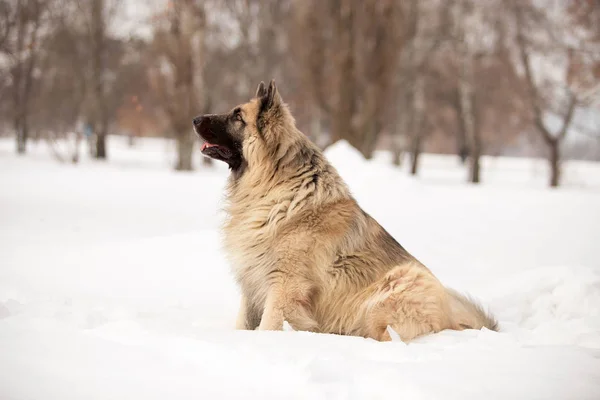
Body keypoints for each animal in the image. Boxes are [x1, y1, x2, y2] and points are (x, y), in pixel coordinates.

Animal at [193, 80, 496, 340]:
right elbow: (244, 322)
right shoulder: (252, 281)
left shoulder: (284, 286)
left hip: (390, 292)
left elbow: (269, 325)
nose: (195, 119)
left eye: (237, 117)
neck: (275, 185)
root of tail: (451, 319)